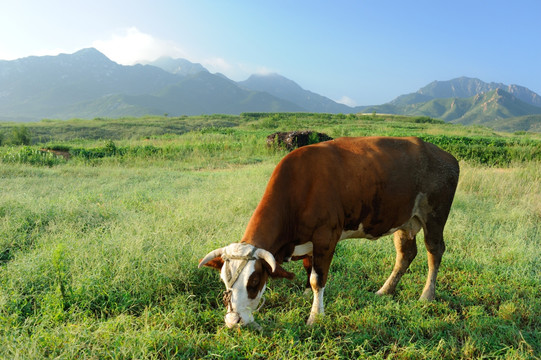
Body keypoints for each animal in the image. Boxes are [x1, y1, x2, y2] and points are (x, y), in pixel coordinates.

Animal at [196, 136, 458, 328]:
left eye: (254, 281)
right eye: (224, 280)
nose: (233, 320)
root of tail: (444, 154)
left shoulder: (326, 237)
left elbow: (317, 278)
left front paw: (315, 316)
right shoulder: (309, 243)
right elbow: (308, 270)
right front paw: (307, 297)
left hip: (435, 216)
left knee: (434, 251)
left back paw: (427, 295)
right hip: (403, 220)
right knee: (406, 254)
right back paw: (385, 290)